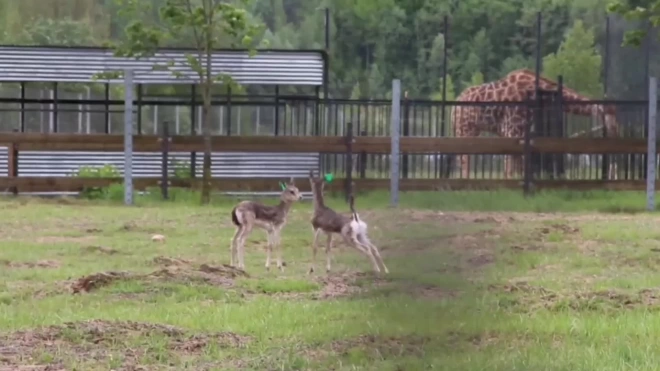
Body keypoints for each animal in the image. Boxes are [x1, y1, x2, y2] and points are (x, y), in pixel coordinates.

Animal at [452, 69, 620, 180]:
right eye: (610, 115)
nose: (616, 132)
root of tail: (455, 104)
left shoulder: (519, 130)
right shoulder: (512, 129)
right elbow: (513, 162)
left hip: (472, 130)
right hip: (464, 128)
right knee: (463, 157)